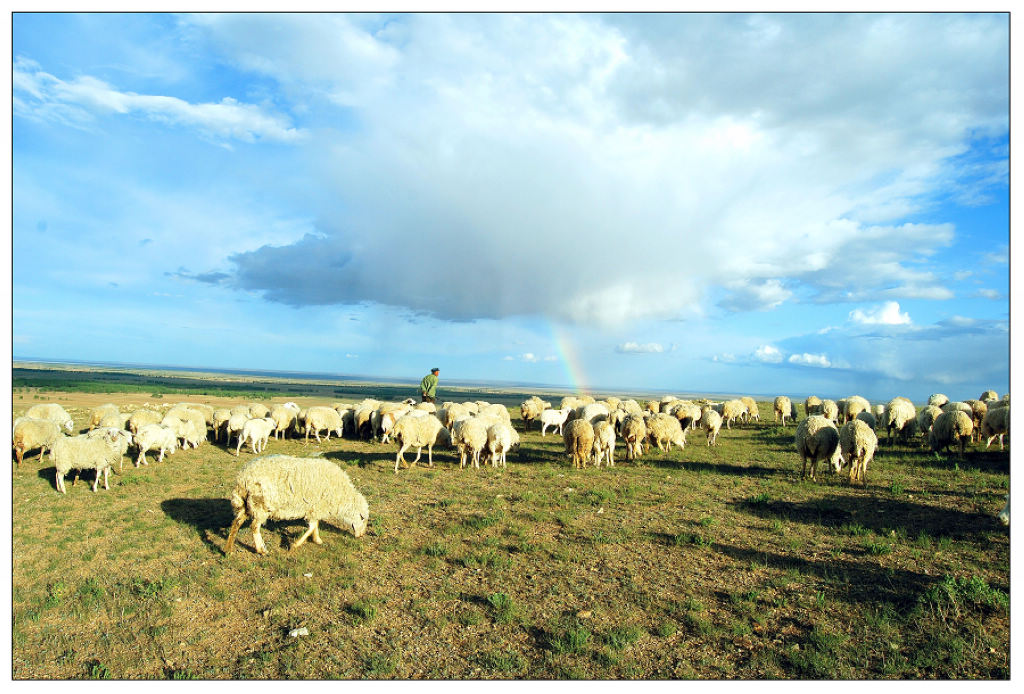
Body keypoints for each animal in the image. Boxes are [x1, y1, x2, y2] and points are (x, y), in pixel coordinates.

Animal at [223, 456, 368, 560]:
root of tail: (243, 477)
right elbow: (311, 527)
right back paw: (261, 550)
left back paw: (228, 550)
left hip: (246, 504)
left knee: (236, 522)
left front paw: (317, 540)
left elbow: (315, 525)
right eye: (362, 518)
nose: (361, 536)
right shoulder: (316, 508)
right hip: (260, 504)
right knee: (254, 527)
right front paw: (294, 545)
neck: (341, 495)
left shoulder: (314, 508)